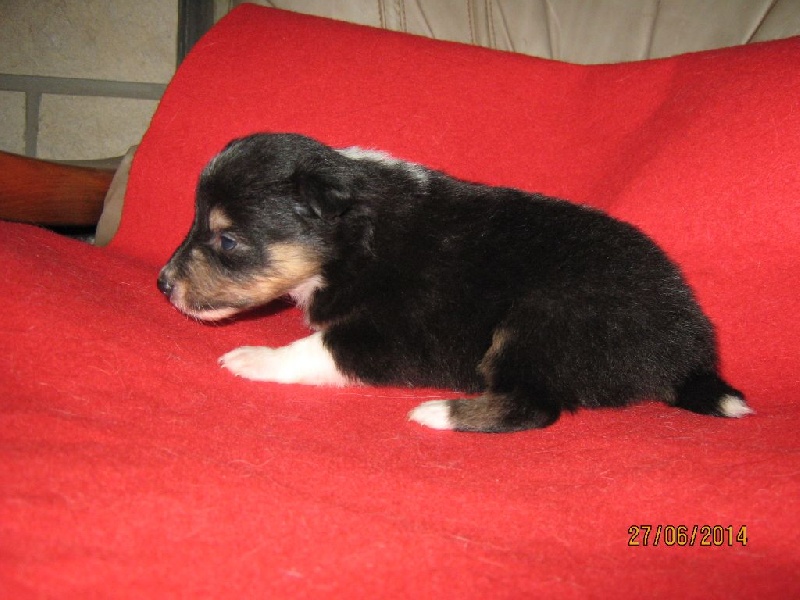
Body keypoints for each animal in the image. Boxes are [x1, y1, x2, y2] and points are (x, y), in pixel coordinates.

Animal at [157, 132, 752, 433]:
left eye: (227, 240)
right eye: (195, 222)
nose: (163, 285)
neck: (355, 238)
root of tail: (686, 351)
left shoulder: (397, 335)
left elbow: (316, 348)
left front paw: (252, 357)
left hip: (542, 318)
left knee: (534, 407)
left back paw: (439, 412)